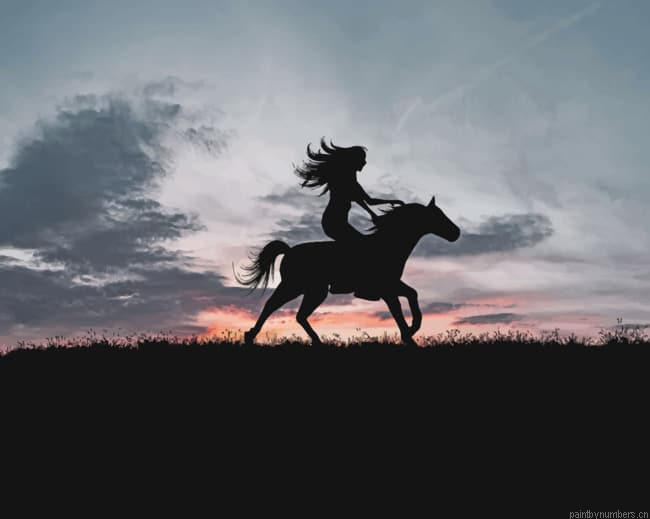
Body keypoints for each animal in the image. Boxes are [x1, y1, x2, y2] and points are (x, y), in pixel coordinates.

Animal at [235, 196, 460, 346]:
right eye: (437, 215)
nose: (456, 232)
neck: (388, 244)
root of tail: (289, 251)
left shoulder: (392, 285)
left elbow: (413, 294)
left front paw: (413, 328)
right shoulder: (387, 290)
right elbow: (397, 312)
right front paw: (408, 337)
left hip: (314, 290)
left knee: (299, 315)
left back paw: (316, 342)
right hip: (295, 286)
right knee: (272, 306)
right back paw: (250, 336)